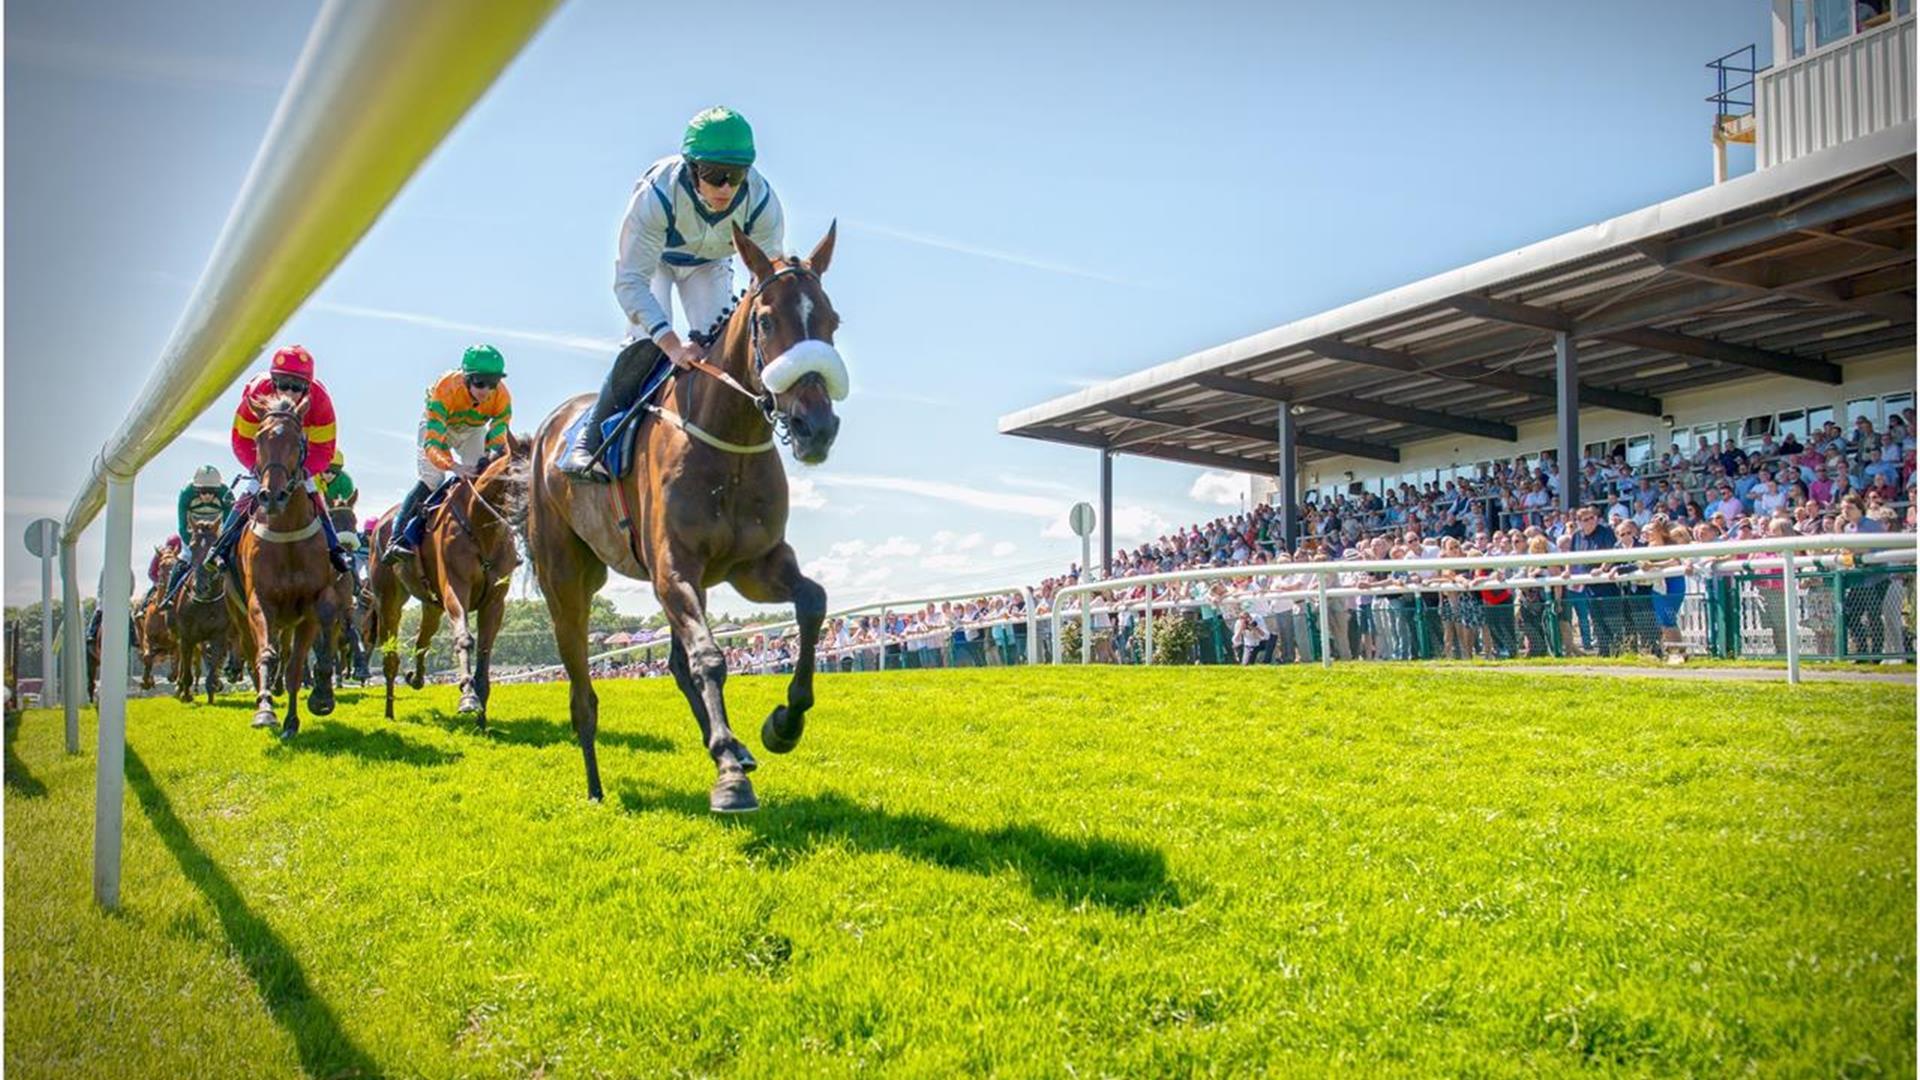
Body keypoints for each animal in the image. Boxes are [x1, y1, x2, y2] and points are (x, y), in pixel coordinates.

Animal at [169, 518, 233, 703]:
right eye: (192, 546)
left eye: (214, 544)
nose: (200, 587)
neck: (204, 602)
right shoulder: (186, 637)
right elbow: (186, 670)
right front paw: (185, 693)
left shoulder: (218, 636)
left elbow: (212, 668)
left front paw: (212, 694)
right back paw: (180, 688)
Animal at [230, 390, 343, 734]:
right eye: (259, 439)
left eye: (298, 440)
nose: (272, 496)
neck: (287, 533)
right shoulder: (260, 600)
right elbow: (266, 655)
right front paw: (265, 711)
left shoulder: (309, 606)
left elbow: (298, 662)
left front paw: (310, 705)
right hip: (239, 615)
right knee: (254, 654)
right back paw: (263, 698)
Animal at [366, 434, 529, 722]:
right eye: (519, 477)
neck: (481, 528)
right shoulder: (456, 587)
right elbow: (464, 638)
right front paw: (468, 697)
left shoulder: (495, 601)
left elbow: (485, 649)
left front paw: (482, 718)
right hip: (388, 602)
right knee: (390, 657)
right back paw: (389, 711)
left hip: (432, 604)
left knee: (422, 639)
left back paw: (416, 677)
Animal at [533, 222, 848, 807]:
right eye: (765, 320)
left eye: (831, 320)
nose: (816, 427)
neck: (726, 443)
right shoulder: (672, 566)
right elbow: (709, 658)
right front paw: (730, 780)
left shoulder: (753, 563)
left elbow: (812, 603)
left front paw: (782, 725)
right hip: (566, 580)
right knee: (582, 689)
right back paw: (596, 786)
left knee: (676, 664)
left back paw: (736, 747)